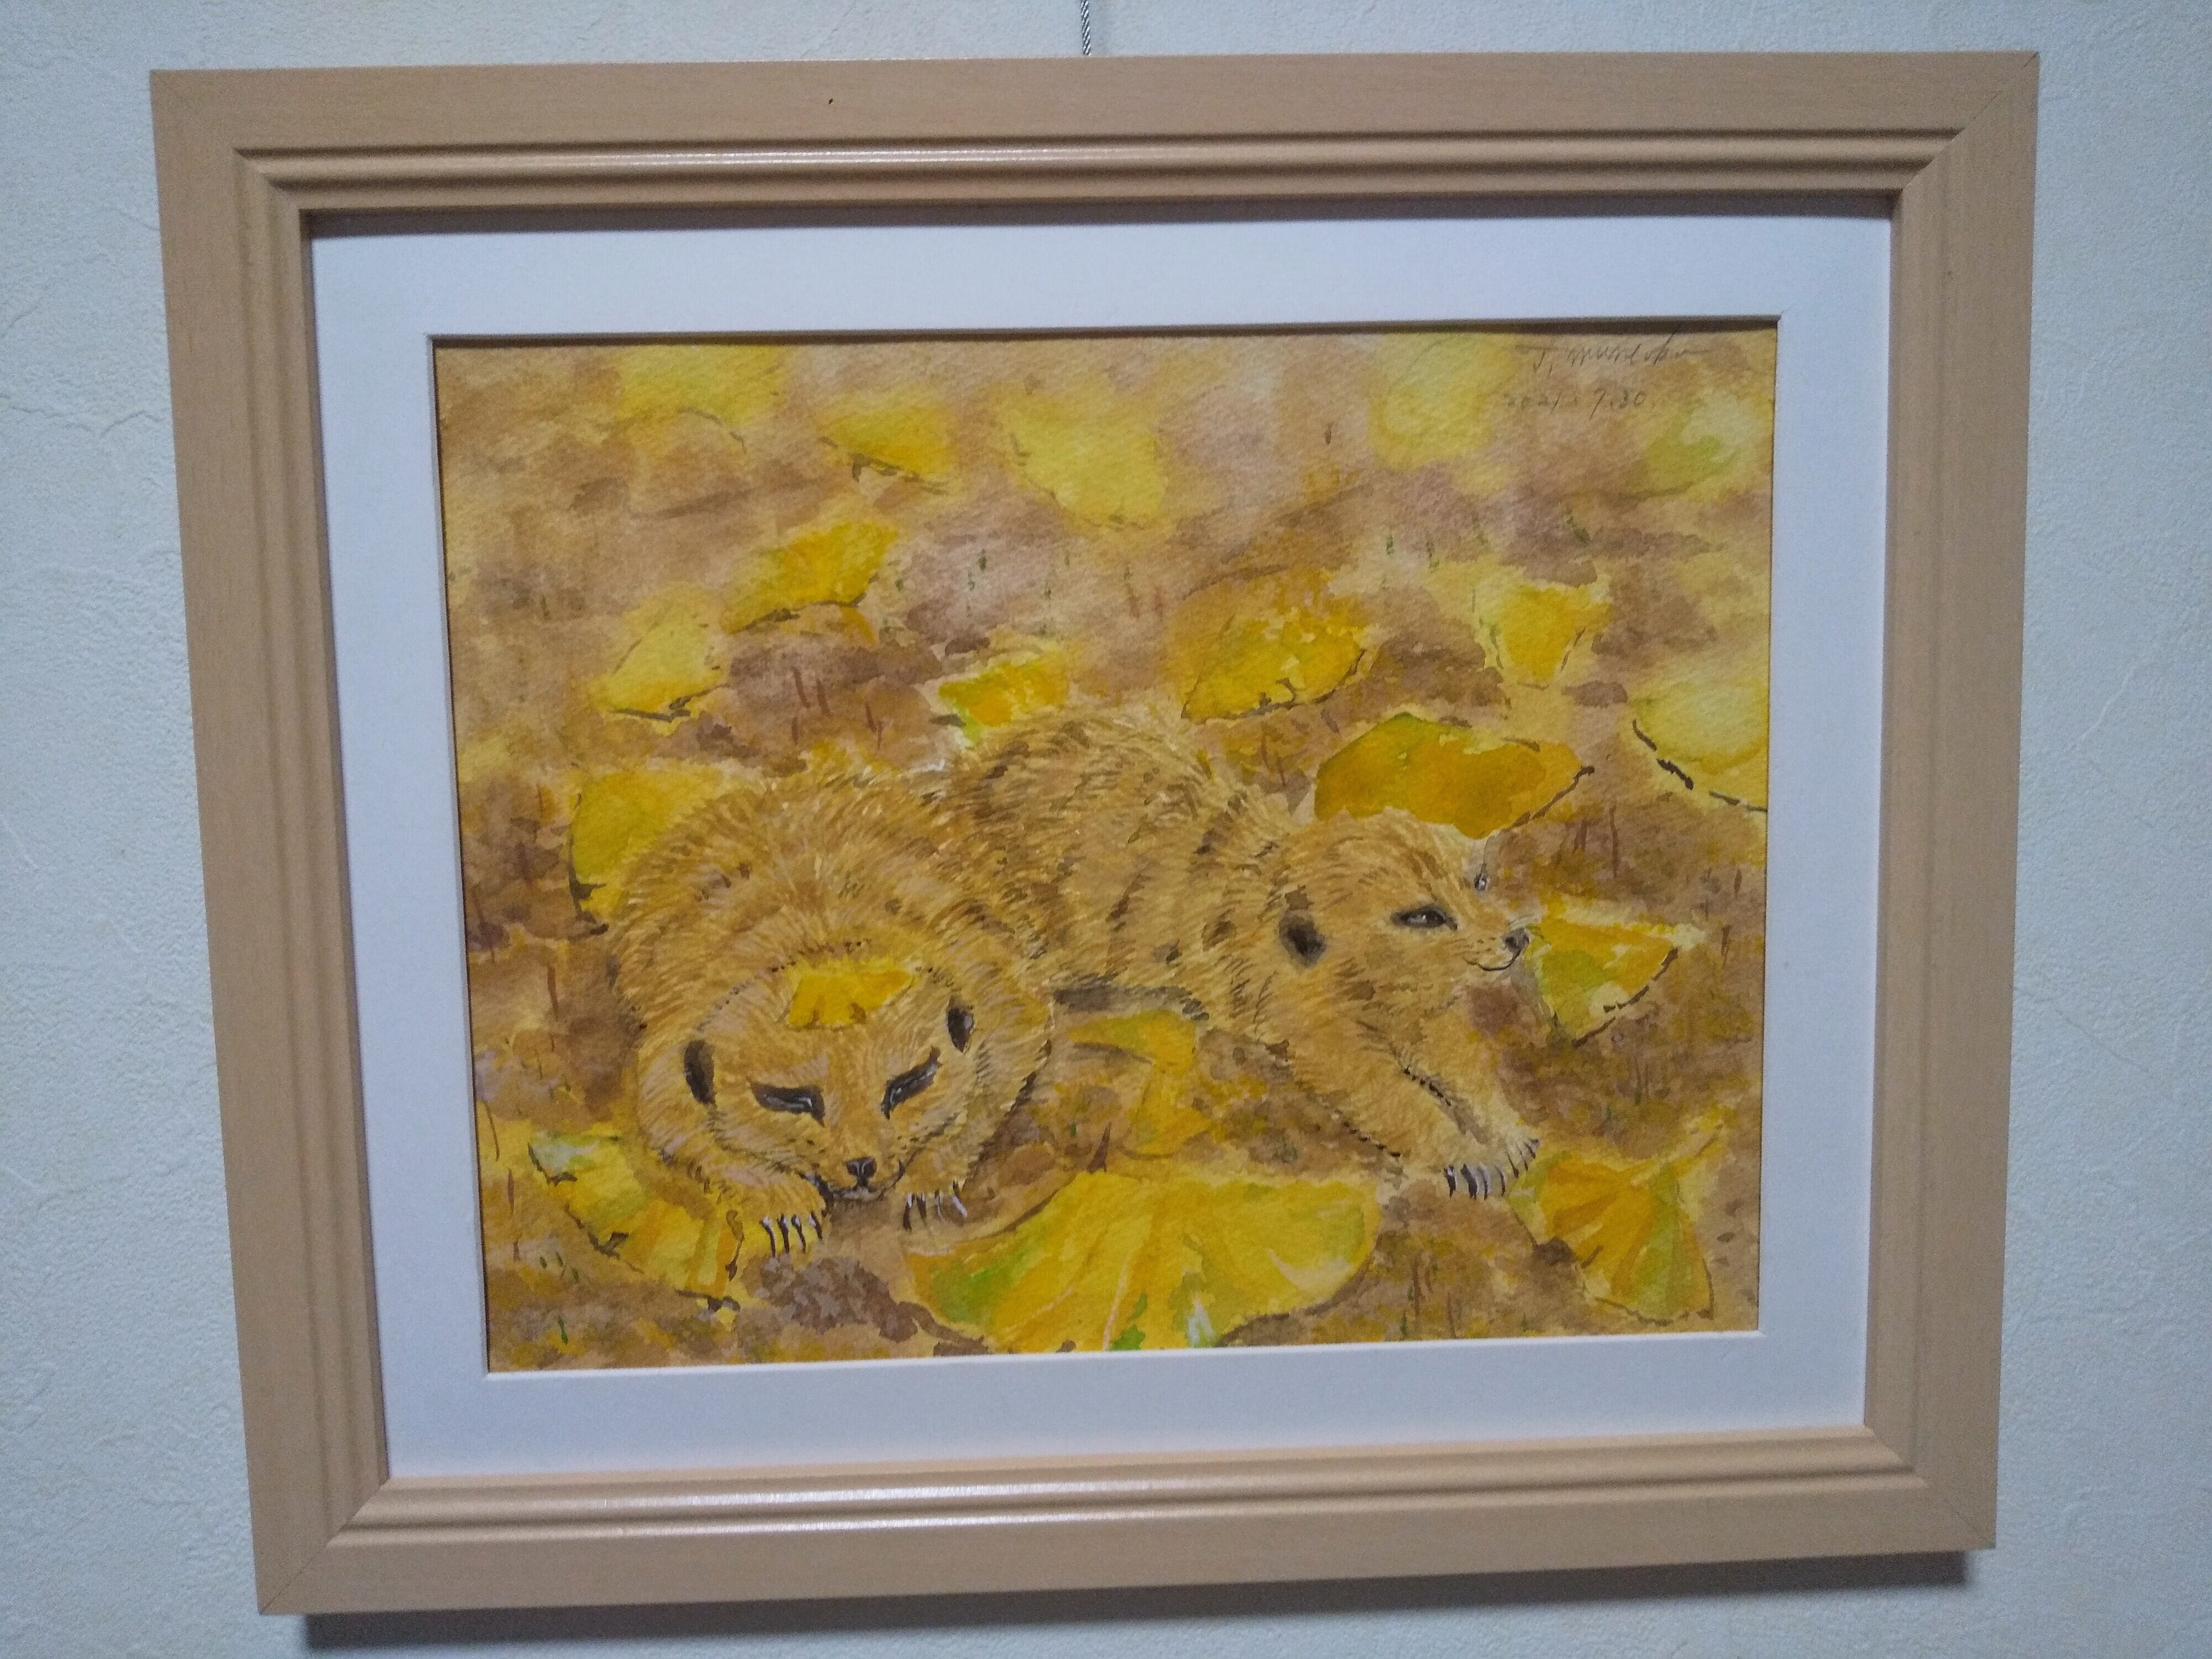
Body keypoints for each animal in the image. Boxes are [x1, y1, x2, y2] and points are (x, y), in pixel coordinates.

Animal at [608, 772, 1049, 1256]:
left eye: (908, 1084)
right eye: (792, 1099)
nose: (861, 1166)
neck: (825, 942)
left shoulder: (989, 980)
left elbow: (1010, 1062)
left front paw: (930, 1173)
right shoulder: (672, 1038)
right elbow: (671, 1124)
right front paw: (783, 1196)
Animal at [941, 709, 1540, 1197]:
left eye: (1480, 881)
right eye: (1424, 916)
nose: (1516, 939)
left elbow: (1451, 1047)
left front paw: (1507, 1131)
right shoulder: (1301, 1016)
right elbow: (1374, 1086)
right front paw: (1468, 1153)